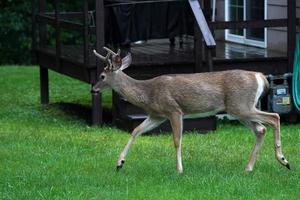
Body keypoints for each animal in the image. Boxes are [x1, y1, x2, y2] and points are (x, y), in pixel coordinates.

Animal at [92, 47, 290, 173]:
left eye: (101, 76)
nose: (93, 89)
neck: (148, 93)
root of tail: (260, 76)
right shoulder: (157, 115)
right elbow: (135, 131)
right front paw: (119, 163)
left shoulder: (174, 110)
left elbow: (176, 140)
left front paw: (179, 169)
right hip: (239, 110)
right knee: (261, 129)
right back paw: (249, 168)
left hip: (242, 106)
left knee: (274, 117)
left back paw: (283, 159)